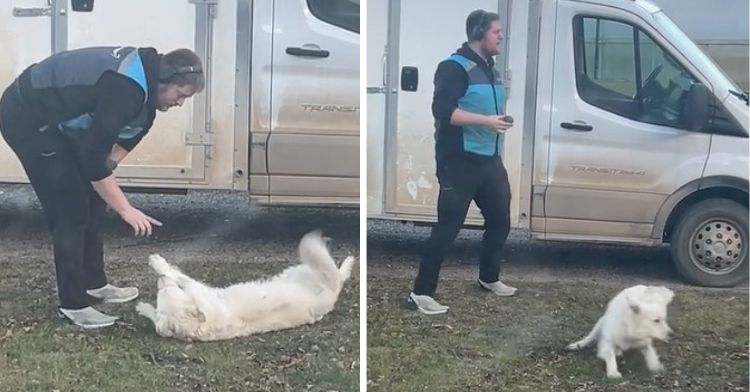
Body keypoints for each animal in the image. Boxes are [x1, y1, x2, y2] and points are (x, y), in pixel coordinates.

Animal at [136, 231, 358, 342]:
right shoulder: (201, 292)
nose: (159, 281)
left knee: (338, 273)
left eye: (163, 291)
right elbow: (179, 277)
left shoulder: (200, 291)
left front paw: (159, 265)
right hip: (307, 270)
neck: (200, 326)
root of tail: (332, 295)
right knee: (336, 272)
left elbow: (179, 276)